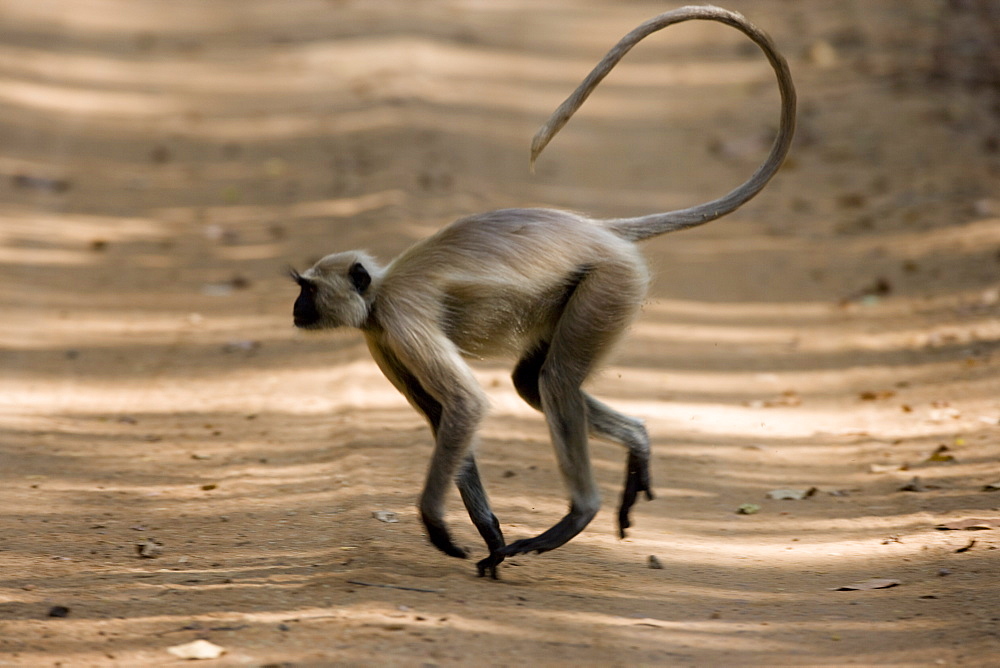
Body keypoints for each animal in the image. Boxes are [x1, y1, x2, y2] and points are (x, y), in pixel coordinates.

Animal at [292, 5, 796, 576]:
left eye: (308, 290)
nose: (296, 307)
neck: (378, 291)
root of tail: (599, 230)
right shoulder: (380, 336)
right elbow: (446, 415)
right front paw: (489, 536)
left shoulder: (398, 317)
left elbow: (464, 406)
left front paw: (436, 522)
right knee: (532, 382)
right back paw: (637, 442)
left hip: (610, 285)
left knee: (553, 381)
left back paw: (579, 513)